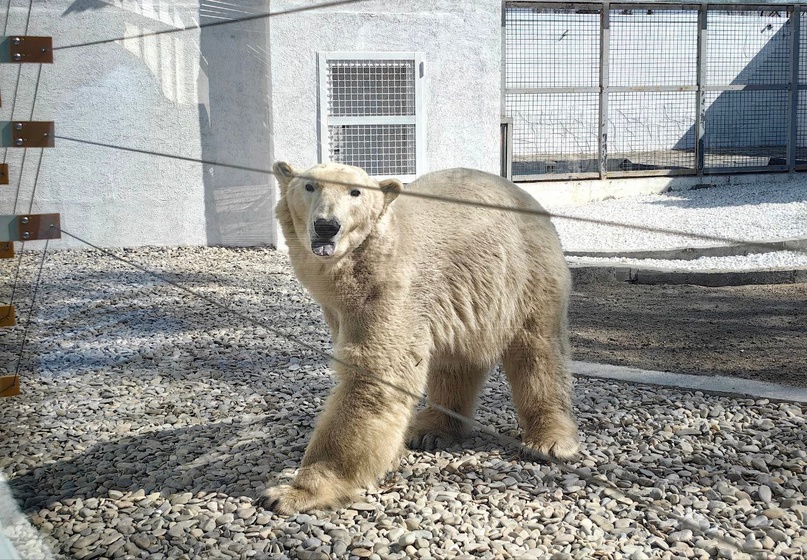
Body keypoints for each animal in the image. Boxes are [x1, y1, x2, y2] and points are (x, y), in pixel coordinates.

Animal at [262, 161, 576, 512]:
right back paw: (431, 429)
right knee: (455, 360)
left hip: (526, 274)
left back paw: (548, 440)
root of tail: (527, 198)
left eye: (355, 192)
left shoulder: (390, 290)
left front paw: (294, 492)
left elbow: (374, 376)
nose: (327, 225)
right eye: (309, 186)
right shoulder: (340, 310)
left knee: (538, 351)